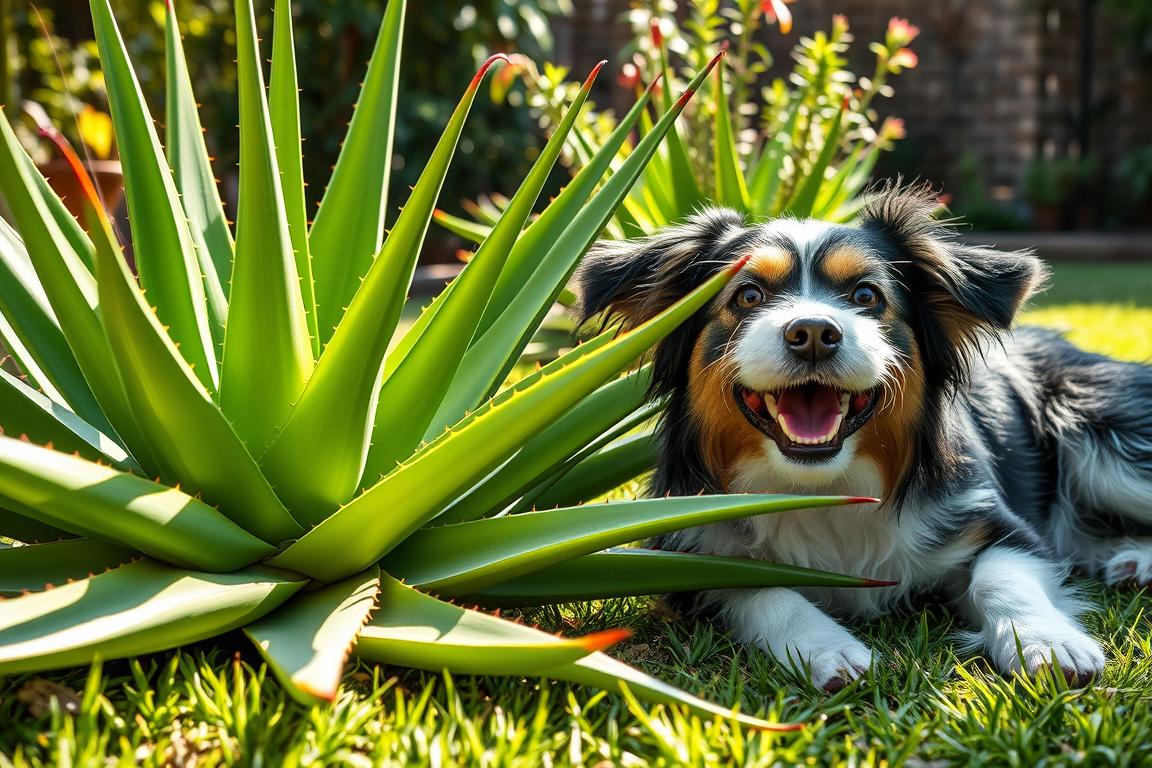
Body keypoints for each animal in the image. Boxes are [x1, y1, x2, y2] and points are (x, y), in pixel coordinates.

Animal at [573, 184, 1152, 690]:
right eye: (748, 295)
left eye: (867, 295)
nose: (812, 333)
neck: (823, 487)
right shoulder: (683, 552)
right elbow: (760, 587)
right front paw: (829, 649)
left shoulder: (992, 519)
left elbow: (1004, 574)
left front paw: (1048, 644)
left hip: (1100, 432)